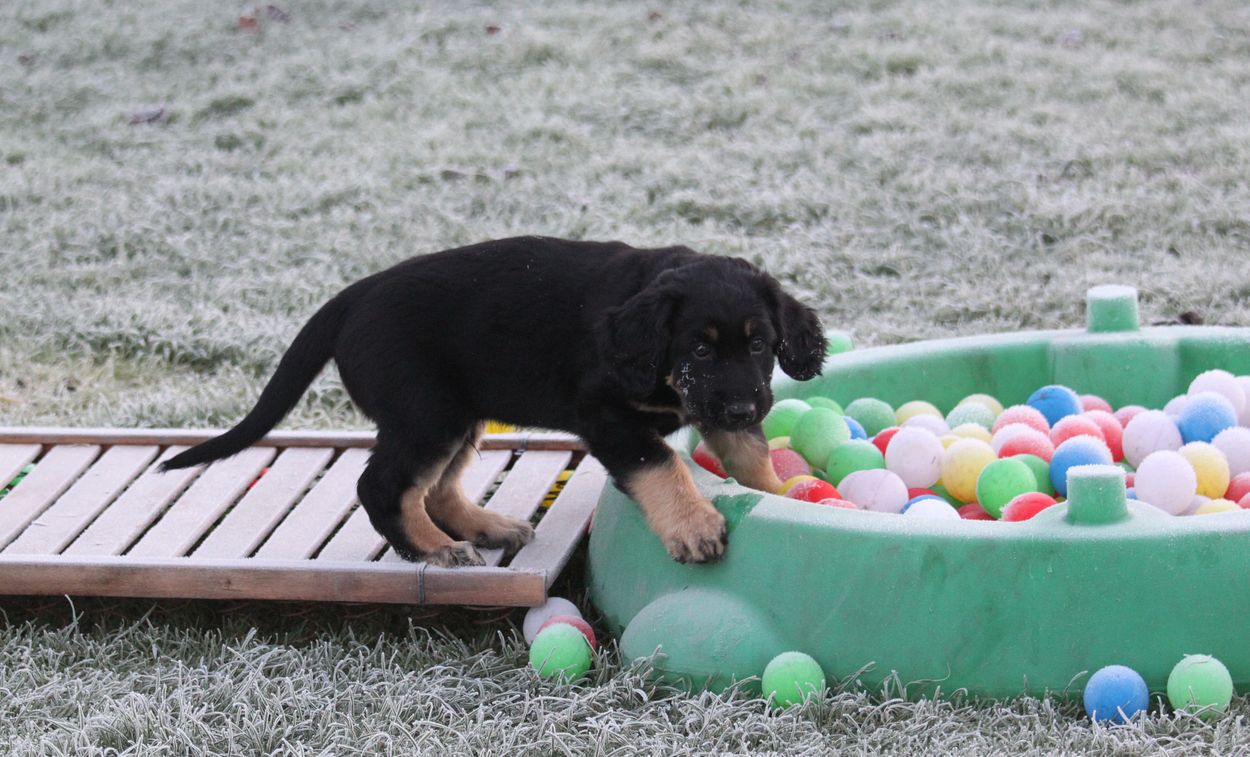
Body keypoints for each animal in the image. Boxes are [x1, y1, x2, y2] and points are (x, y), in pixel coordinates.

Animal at [161, 237, 825, 566]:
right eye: (701, 349)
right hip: (427, 414)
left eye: (760, 343)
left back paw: (487, 527)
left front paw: (774, 495)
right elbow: (661, 465)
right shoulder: (606, 415)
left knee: (437, 490)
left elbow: (751, 460)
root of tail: (350, 298)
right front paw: (694, 527)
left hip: (461, 412)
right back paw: (432, 550)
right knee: (382, 487)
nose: (743, 410)